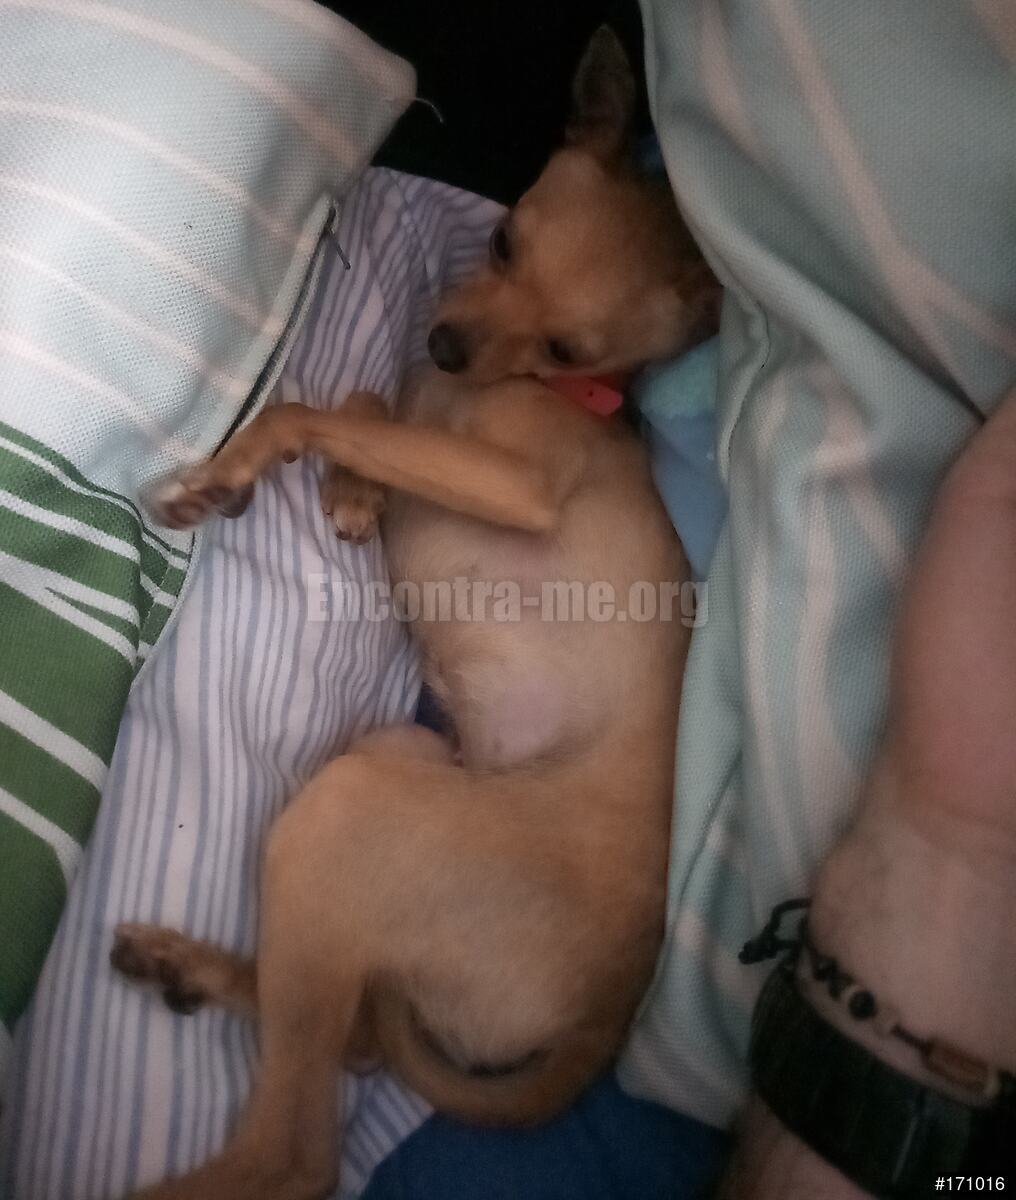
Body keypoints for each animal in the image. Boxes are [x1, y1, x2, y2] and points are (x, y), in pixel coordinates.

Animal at [110, 28, 719, 1200]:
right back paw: (187, 966)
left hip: (352, 814)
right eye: (504, 239)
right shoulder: (422, 417)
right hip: (395, 758)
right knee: (349, 1039)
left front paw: (238, 472)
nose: (440, 344)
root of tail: (605, 1022)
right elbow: (362, 410)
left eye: (570, 352)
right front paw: (354, 493)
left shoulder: (516, 481)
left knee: (297, 1147)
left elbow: (315, 410)